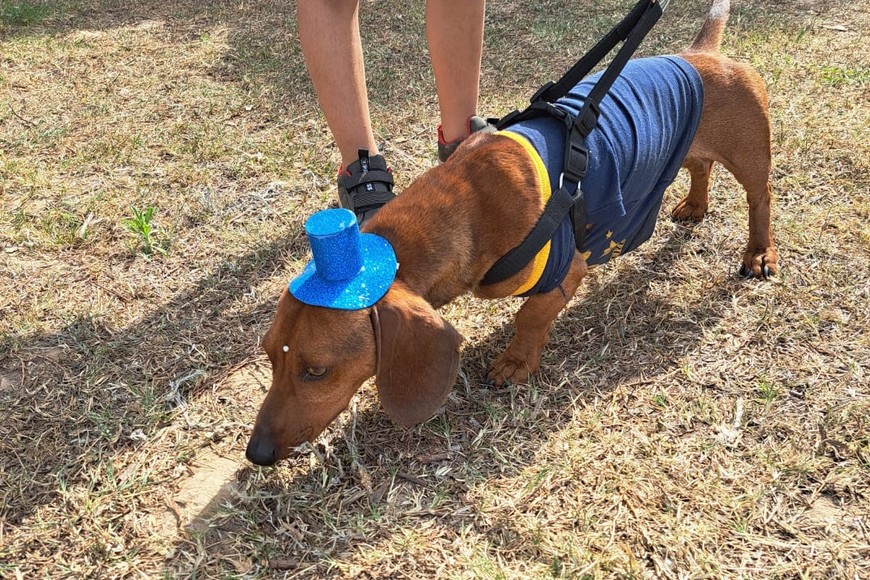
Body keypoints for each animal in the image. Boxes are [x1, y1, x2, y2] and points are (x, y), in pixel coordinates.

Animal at [246, 0, 778, 466]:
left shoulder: (566, 268)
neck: (468, 202)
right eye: (270, 356)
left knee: (760, 199)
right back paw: (695, 206)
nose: (257, 454)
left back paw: (759, 254)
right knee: (701, 165)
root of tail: (700, 55)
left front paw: (516, 363)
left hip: (750, 157)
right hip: (679, 151)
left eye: (317, 370)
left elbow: (530, 316)